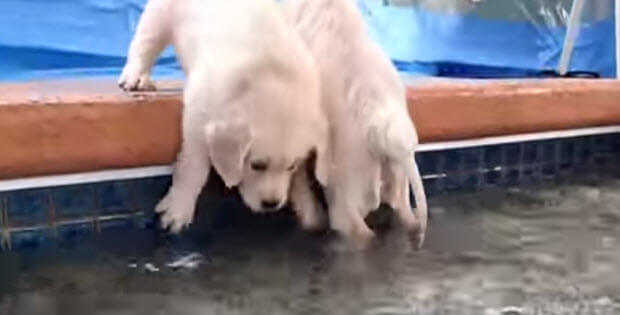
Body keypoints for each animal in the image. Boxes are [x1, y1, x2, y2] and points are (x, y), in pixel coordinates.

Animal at [117, 0, 330, 232]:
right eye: (257, 165)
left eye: (291, 166)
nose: (271, 204)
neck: (270, 77)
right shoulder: (197, 115)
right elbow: (195, 166)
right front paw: (179, 208)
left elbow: (300, 177)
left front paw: (307, 205)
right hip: (160, 14)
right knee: (145, 42)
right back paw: (136, 76)